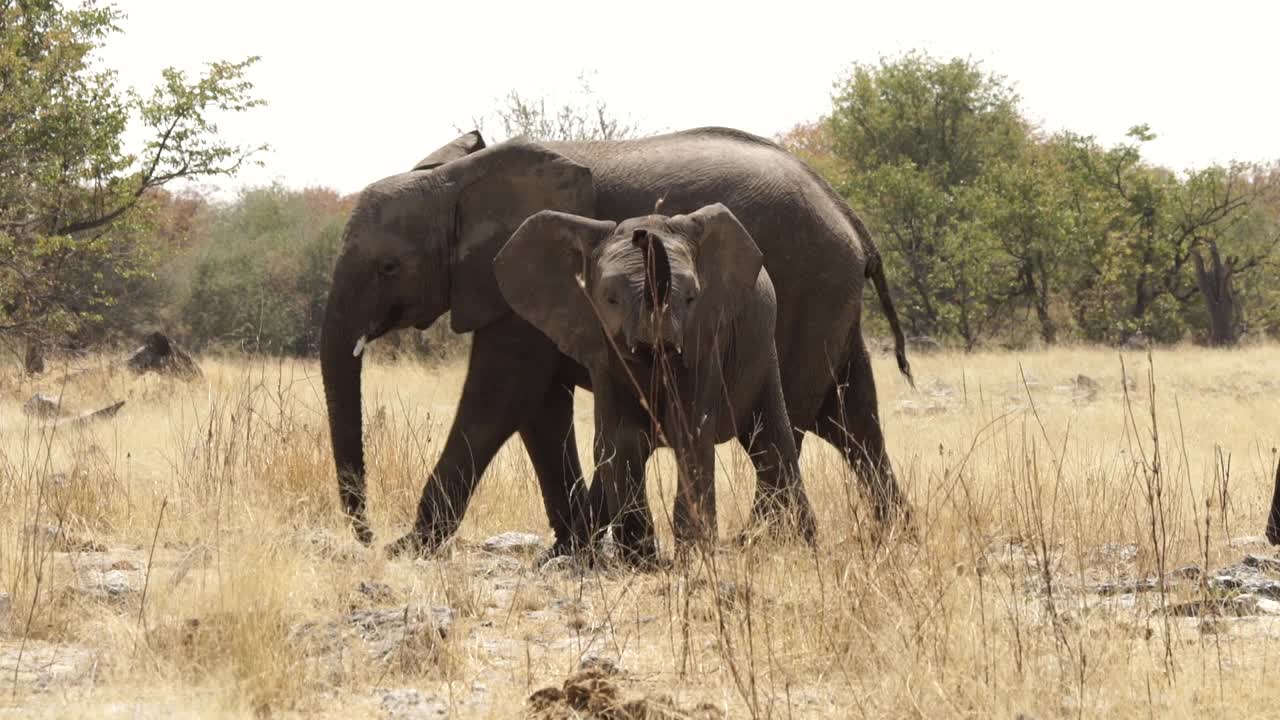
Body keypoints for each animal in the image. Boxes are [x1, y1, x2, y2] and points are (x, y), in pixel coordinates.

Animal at [494, 202, 814, 561]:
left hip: (761, 350)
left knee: (772, 443)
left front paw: (694, 556)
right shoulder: (602, 352)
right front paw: (640, 560)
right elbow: (623, 439)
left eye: (691, 298)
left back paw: (805, 544)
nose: (642, 234)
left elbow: (689, 434)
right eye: (611, 299)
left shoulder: (705, 338)